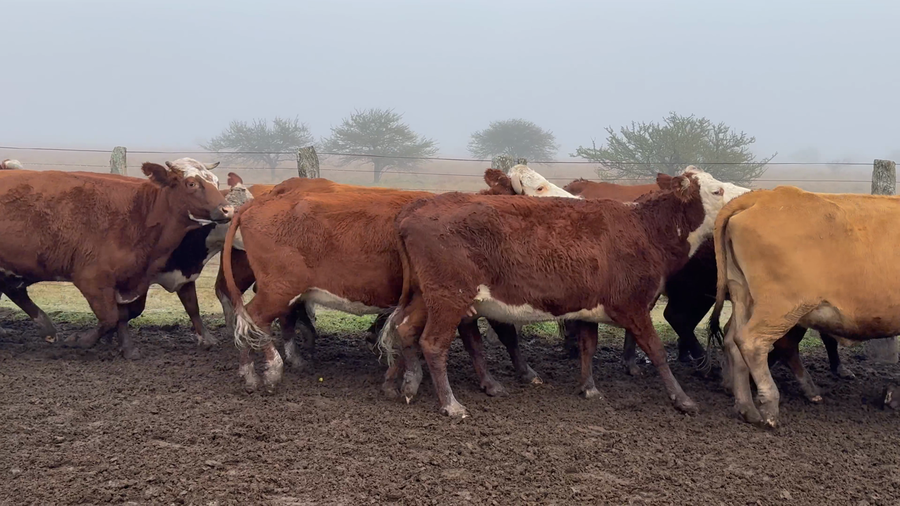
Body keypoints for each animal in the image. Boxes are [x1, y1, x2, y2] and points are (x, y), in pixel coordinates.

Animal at [0, 164, 233, 358]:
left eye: (216, 181)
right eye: (191, 183)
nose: (228, 210)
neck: (140, 214)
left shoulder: (129, 280)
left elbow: (123, 315)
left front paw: (126, 348)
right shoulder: (92, 280)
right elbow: (111, 317)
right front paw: (79, 341)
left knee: (13, 289)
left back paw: (45, 328)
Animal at [377, 166, 747, 418]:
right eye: (716, 190)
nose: (745, 196)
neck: (645, 229)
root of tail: (419, 208)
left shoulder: (589, 308)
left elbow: (588, 347)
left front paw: (589, 388)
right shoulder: (633, 305)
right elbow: (656, 351)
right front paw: (682, 399)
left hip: (426, 296)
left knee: (405, 330)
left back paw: (408, 384)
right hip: (449, 297)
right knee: (432, 343)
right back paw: (451, 404)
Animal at [707, 186, 900, 428]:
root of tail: (764, 195)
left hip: (742, 293)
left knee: (733, 341)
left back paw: (747, 408)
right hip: (780, 307)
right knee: (752, 341)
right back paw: (770, 406)